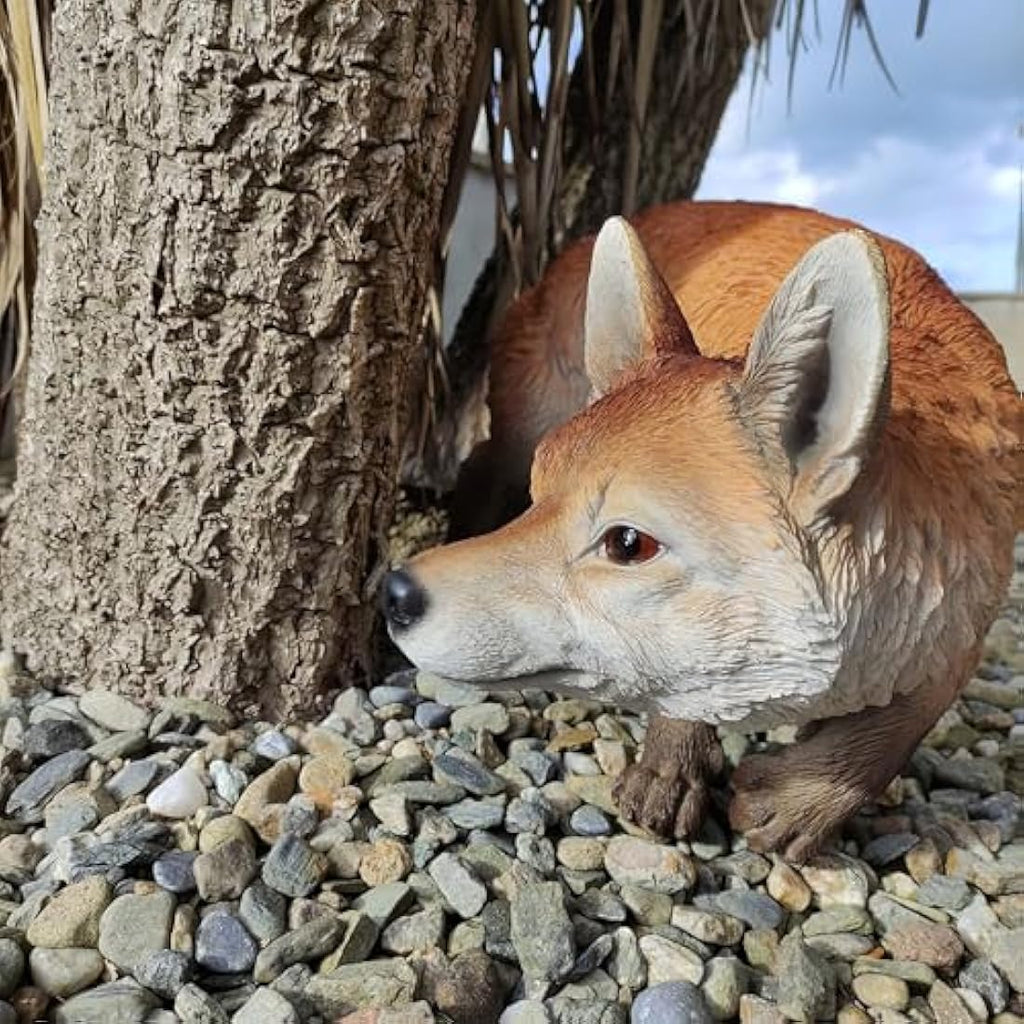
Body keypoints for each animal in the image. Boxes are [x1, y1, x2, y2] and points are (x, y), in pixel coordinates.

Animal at [383, 200, 1023, 860]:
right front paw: (674, 767)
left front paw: (806, 802)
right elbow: (686, 685)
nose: (396, 593)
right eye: (539, 497)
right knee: (480, 462)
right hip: (522, 425)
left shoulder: (961, 630)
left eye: (627, 543)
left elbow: (891, 733)